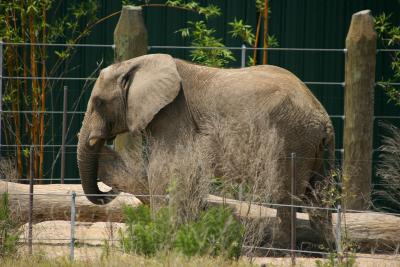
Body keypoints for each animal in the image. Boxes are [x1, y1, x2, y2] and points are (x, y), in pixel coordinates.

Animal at [77, 53, 334, 250]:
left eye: (98, 102)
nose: (104, 147)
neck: (138, 64)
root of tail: (322, 115)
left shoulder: (173, 114)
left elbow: (164, 170)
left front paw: (163, 235)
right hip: (315, 147)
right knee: (319, 195)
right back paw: (326, 248)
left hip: (291, 140)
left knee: (285, 194)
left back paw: (275, 250)